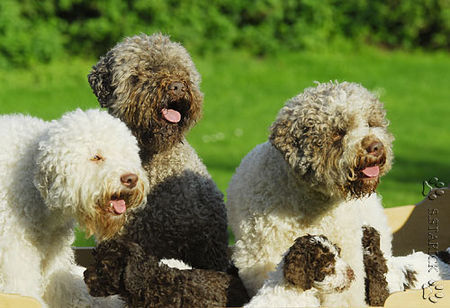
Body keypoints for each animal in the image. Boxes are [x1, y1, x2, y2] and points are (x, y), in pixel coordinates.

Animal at [229, 81, 450, 306]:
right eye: (338, 132)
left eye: (370, 122)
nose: (375, 147)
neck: (310, 202)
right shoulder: (262, 256)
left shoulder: (348, 253)